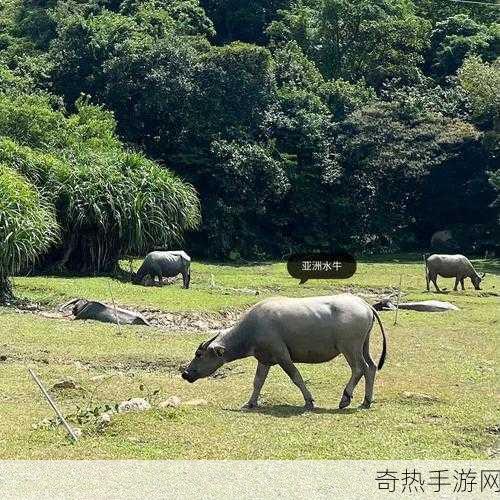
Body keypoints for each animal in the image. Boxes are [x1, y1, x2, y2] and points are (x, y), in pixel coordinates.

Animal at [182, 292, 388, 410]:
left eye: (199, 355)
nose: (185, 373)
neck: (252, 329)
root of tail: (365, 305)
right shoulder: (263, 359)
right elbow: (258, 382)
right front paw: (250, 403)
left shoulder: (282, 356)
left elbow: (296, 377)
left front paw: (309, 401)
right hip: (363, 345)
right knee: (371, 367)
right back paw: (366, 401)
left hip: (350, 347)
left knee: (359, 368)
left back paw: (345, 399)